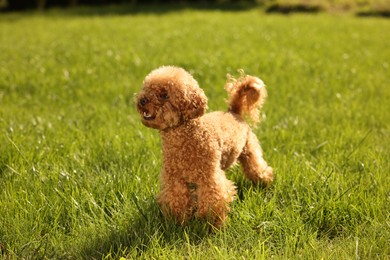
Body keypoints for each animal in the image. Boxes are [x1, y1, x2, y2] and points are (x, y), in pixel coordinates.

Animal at [136, 65, 272, 228]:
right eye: (146, 88)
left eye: (164, 95)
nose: (142, 100)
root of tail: (233, 111)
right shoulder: (174, 179)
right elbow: (176, 199)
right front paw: (178, 223)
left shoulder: (210, 178)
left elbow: (213, 201)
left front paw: (215, 225)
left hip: (249, 149)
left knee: (258, 168)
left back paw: (265, 183)